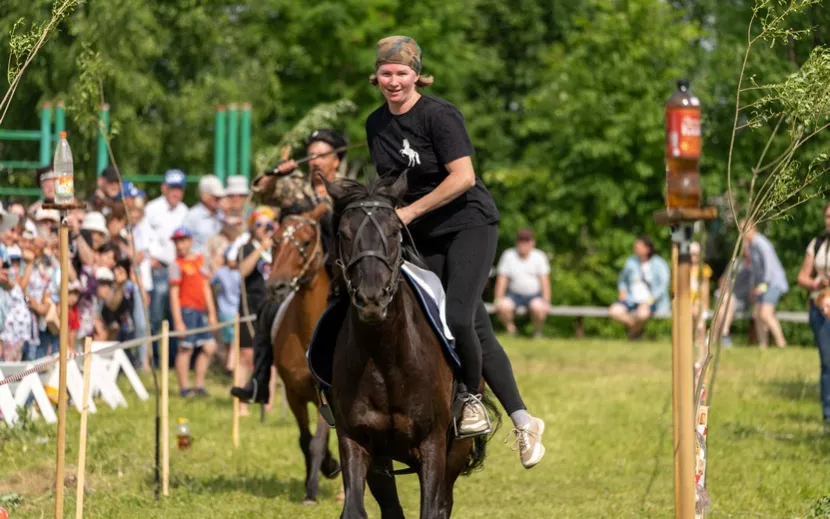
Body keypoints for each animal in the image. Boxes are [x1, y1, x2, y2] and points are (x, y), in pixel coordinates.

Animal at [324, 175, 494, 519]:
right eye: (344, 234)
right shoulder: (355, 440)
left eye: (394, 231)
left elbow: (431, 508)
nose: (372, 298)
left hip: (455, 451)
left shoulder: (433, 446)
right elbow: (356, 509)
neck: (385, 358)